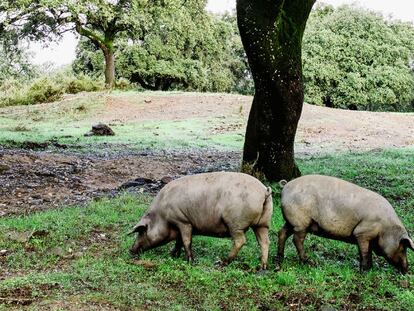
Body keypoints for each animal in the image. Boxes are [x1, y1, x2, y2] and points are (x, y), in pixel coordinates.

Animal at [128, 172, 274, 270]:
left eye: (141, 231)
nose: (130, 250)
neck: (162, 216)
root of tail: (264, 191)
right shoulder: (180, 224)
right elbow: (179, 241)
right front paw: (173, 254)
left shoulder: (183, 221)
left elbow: (186, 241)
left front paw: (190, 261)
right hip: (263, 224)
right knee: (265, 242)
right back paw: (262, 267)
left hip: (235, 223)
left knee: (240, 241)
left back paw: (221, 263)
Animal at [274, 174, 414, 274]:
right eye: (403, 247)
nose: (407, 270)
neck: (386, 228)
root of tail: (285, 186)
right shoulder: (362, 232)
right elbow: (365, 252)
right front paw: (364, 271)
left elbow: (367, 252)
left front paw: (370, 269)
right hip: (301, 222)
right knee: (296, 239)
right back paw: (308, 262)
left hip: (291, 221)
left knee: (282, 233)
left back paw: (280, 258)